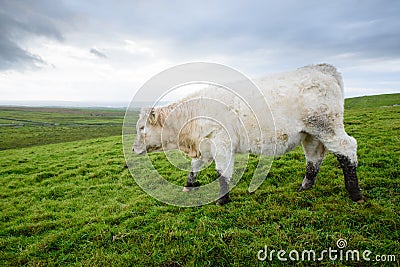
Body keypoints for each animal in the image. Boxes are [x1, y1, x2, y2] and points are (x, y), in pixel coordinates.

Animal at [133, 63, 364, 206]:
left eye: (142, 128)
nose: (134, 148)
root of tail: (322, 68)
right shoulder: (204, 146)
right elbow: (194, 167)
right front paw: (188, 187)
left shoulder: (221, 142)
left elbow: (222, 172)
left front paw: (222, 200)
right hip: (311, 134)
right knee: (314, 158)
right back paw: (304, 187)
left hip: (326, 126)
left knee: (347, 149)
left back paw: (355, 193)